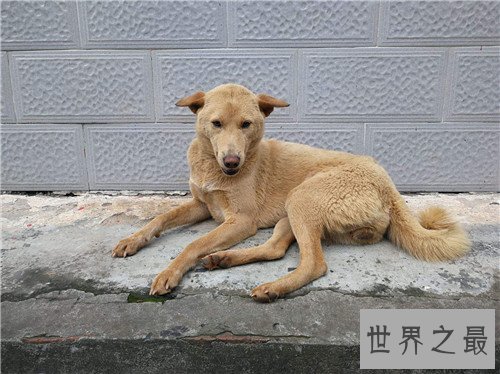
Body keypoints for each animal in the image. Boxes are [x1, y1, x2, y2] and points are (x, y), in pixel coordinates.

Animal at [111, 83, 470, 302]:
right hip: (290, 213)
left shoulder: (241, 221)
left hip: (302, 199)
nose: (232, 162)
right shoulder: (202, 204)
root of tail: (388, 183)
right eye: (215, 123)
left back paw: (272, 288)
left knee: (314, 265)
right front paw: (132, 240)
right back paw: (223, 259)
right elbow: (159, 219)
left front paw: (169, 273)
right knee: (275, 249)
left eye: (247, 124)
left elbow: (192, 244)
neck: (212, 165)